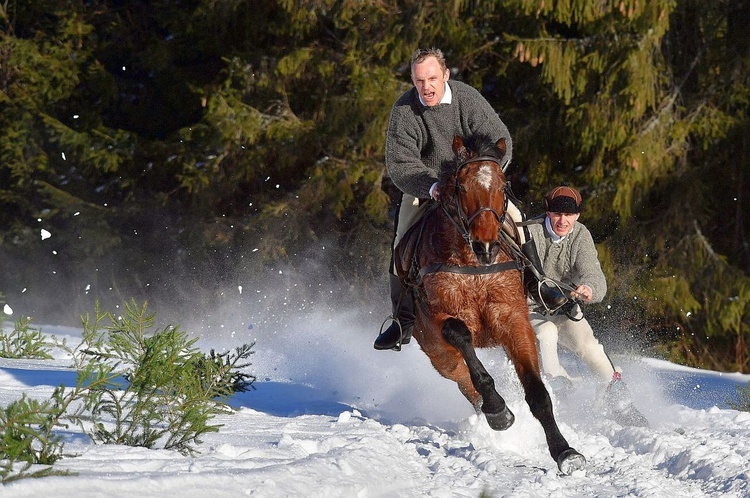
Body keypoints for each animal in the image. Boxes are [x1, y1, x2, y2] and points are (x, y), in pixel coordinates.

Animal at [396, 135, 592, 474]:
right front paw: (498, 410)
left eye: (502, 186)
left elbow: (538, 393)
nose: (485, 245)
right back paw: (494, 413)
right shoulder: (441, 316)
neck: (473, 265)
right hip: (438, 353)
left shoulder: (513, 321)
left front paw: (565, 452)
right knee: (465, 382)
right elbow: (462, 338)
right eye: (461, 187)